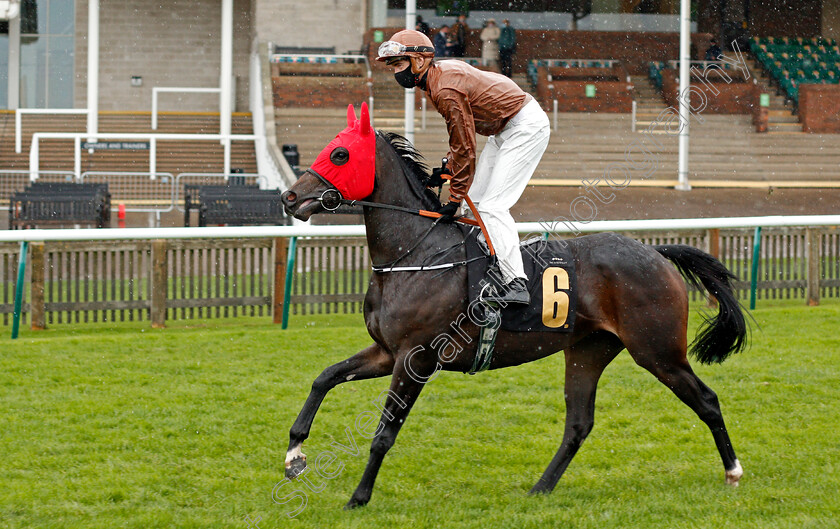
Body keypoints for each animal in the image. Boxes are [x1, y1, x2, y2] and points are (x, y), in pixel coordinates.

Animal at [282, 106, 748, 508]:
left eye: (339, 154)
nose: (289, 197)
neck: (415, 255)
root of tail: (657, 252)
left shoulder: (416, 357)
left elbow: (383, 434)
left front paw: (358, 497)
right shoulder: (386, 352)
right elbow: (325, 378)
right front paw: (294, 455)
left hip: (658, 350)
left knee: (707, 400)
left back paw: (733, 471)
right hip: (589, 350)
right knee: (579, 423)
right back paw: (541, 487)